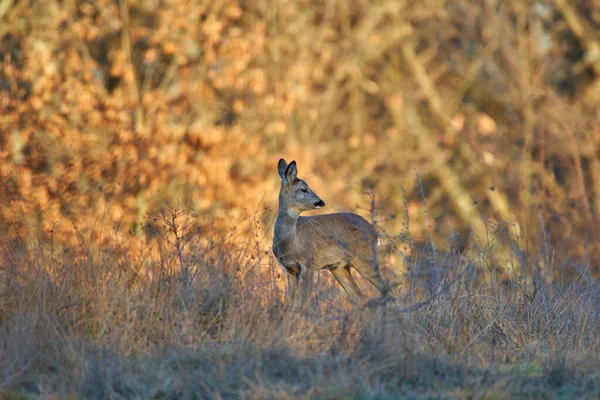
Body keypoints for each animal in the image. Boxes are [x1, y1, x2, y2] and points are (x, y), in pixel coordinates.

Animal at [272, 158, 390, 308]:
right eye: (304, 189)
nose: (321, 202)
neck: (289, 241)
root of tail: (374, 231)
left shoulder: (308, 264)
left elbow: (305, 303)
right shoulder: (290, 269)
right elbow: (289, 304)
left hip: (366, 258)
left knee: (387, 290)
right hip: (339, 267)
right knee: (361, 297)